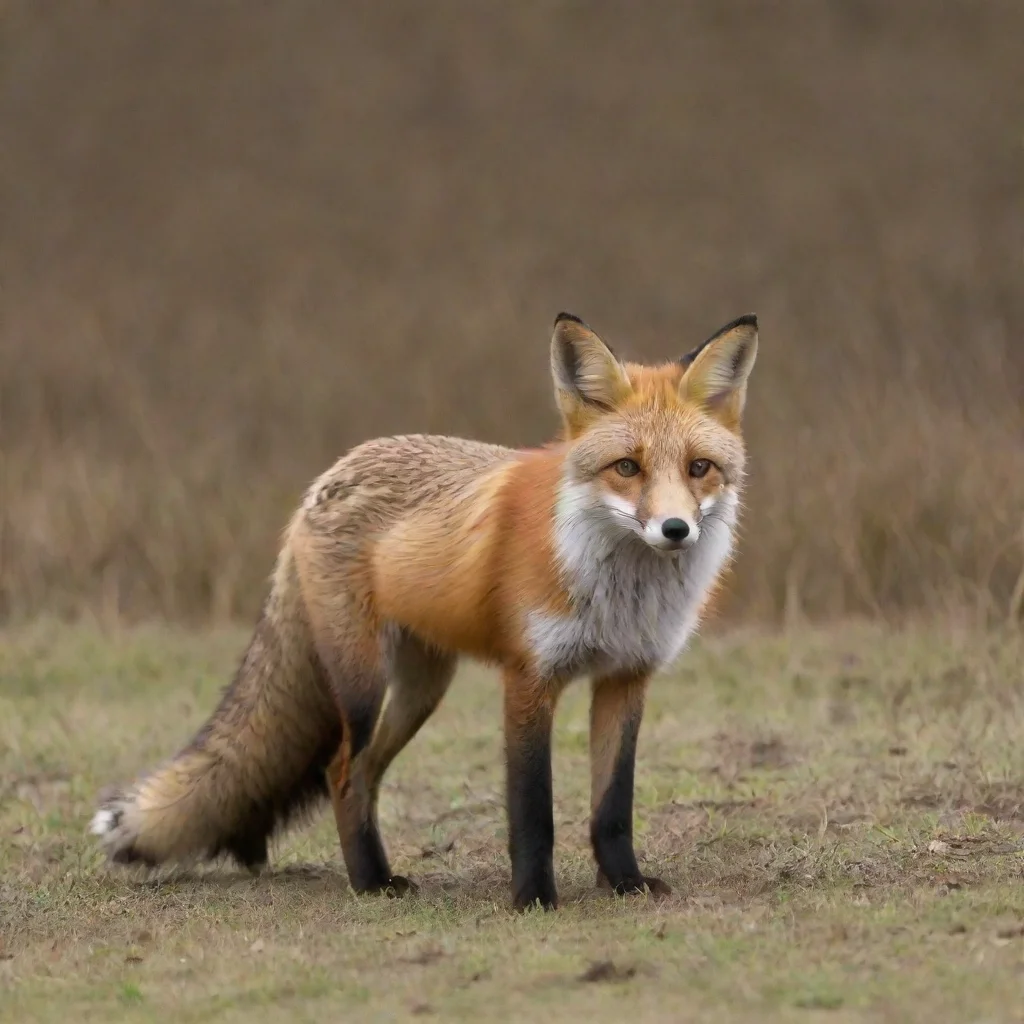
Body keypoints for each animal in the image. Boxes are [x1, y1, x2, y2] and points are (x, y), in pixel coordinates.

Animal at [91, 310, 758, 911]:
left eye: (699, 468)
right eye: (627, 467)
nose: (675, 530)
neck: (620, 593)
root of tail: (325, 479)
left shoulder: (626, 678)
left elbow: (613, 806)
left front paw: (626, 885)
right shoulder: (529, 679)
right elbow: (532, 810)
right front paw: (532, 900)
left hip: (422, 690)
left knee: (367, 774)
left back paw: (381, 875)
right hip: (363, 687)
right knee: (340, 770)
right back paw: (368, 883)